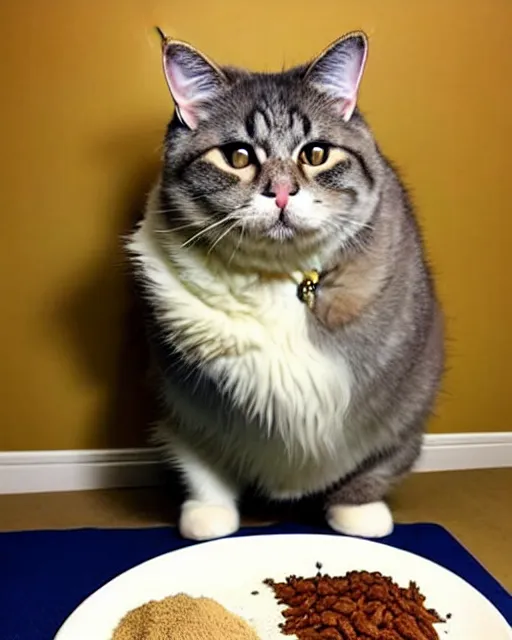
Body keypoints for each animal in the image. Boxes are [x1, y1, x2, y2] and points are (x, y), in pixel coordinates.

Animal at [128, 30, 444, 540]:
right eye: (237, 156)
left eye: (315, 154)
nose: (280, 193)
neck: (281, 281)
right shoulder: (184, 401)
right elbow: (200, 466)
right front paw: (209, 516)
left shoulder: (404, 404)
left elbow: (377, 463)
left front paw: (357, 512)